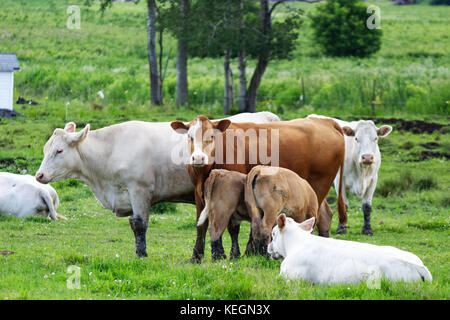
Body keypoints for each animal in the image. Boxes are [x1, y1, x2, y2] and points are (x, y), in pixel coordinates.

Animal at [35, 112, 280, 258]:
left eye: (59, 151)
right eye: (46, 148)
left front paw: (141, 254)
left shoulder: (139, 191)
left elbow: (139, 225)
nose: (39, 175)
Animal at [171, 115, 346, 262]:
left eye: (211, 136)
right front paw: (196, 256)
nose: (198, 158)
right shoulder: (199, 194)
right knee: (324, 216)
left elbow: (231, 227)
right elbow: (201, 226)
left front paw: (232, 254)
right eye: (189, 136)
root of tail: (326, 121)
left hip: (318, 188)